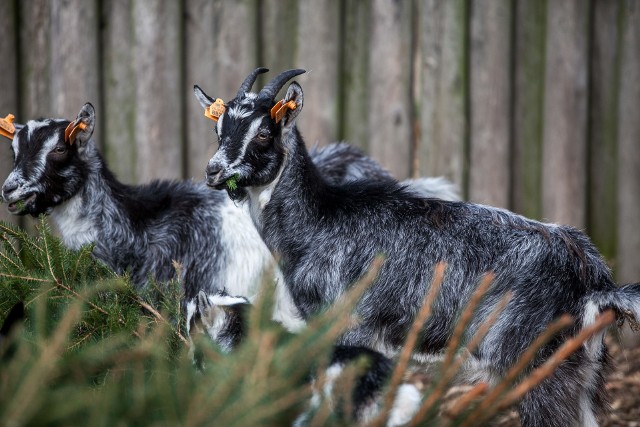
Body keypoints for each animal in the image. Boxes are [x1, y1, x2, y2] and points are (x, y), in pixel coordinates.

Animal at [194, 68, 640, 426]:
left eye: (263, 131)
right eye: (218, 130)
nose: (213, 171)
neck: (319, 222)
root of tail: (593, 277)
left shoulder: (350, 325)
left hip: (536, 363)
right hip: (579, 371)